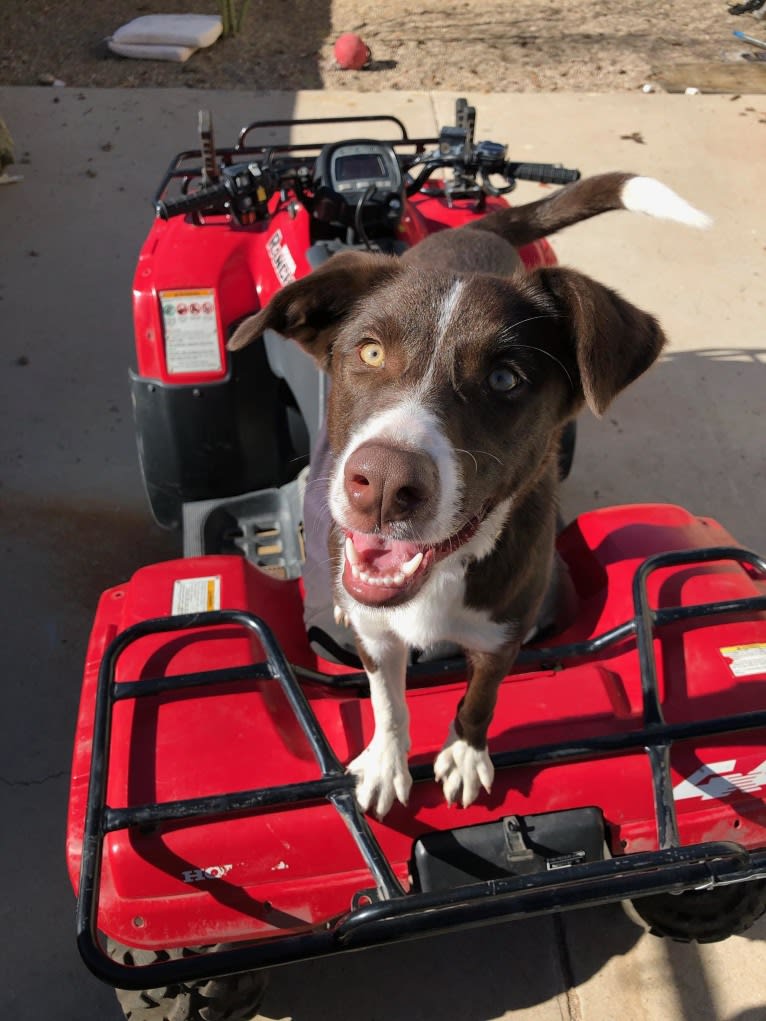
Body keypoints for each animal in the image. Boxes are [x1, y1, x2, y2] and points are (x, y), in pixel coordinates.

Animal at [229, 171, 714, 816]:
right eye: (370, 351)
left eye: (505, 379)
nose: (383, 485)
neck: (442, 573)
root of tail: (475, 229)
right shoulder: (376, 633)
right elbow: (387, 701)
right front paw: (385, 761)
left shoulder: (501, 635)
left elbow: (481, 696)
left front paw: (463, 752)